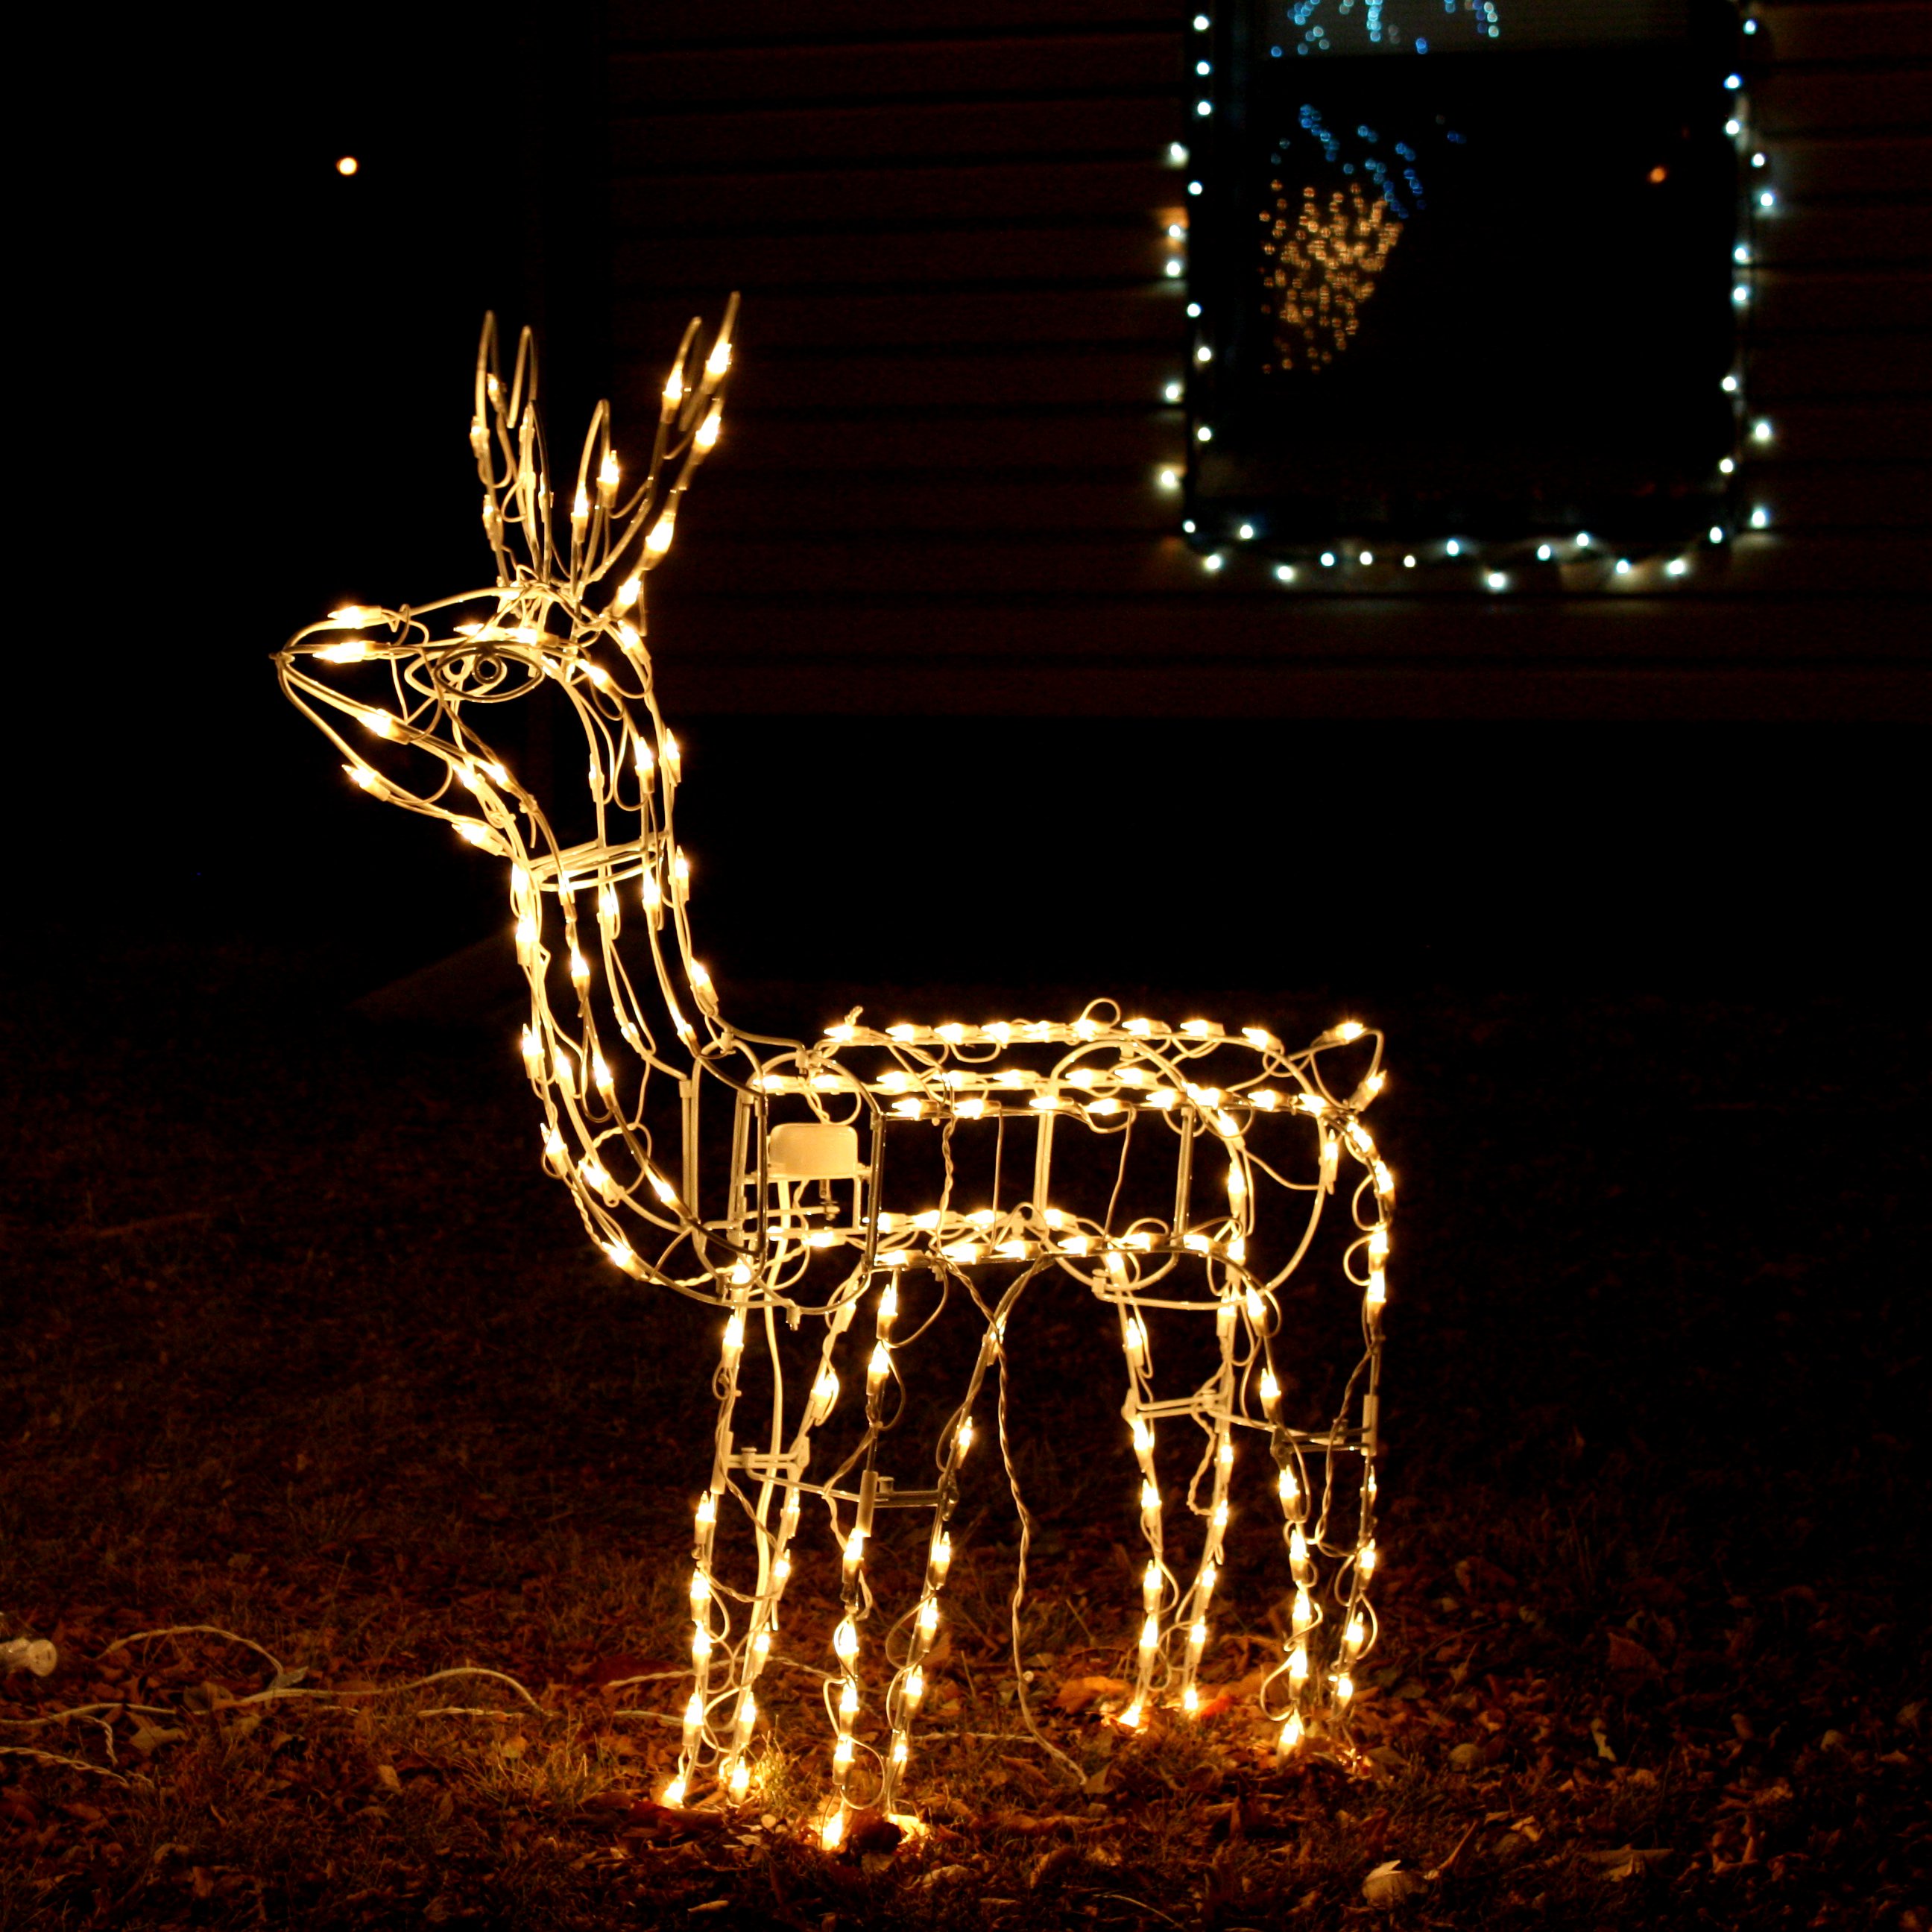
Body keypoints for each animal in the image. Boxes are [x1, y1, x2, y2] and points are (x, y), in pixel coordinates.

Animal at [276, 305, 1391, 1839]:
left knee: (1330, 1480)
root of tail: (1340, 1078)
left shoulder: (869, 1294)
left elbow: (860, 1524)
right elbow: (748, 1516)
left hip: (1312, 1291)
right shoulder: (777, 1314)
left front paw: (854, 1808)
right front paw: (705, 1779)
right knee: (1197, 1454)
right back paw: (1164, 1714)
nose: (312, 649)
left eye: (482, 657)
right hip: (1167, 1288)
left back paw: (1309, 1736)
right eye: (444, 603)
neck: (721, 1093)